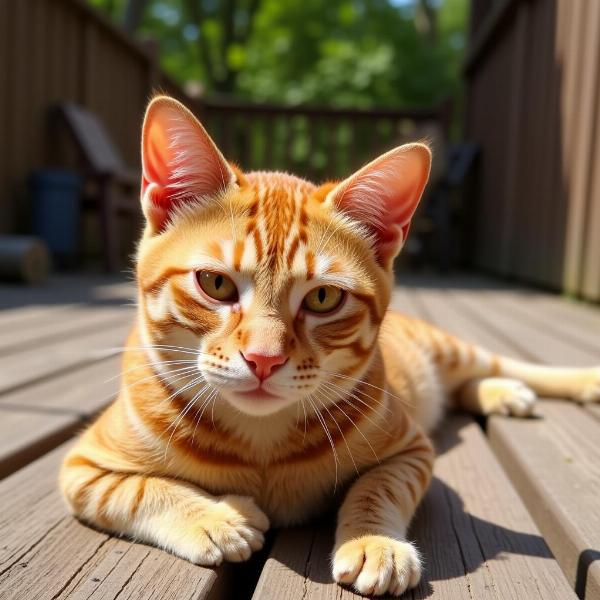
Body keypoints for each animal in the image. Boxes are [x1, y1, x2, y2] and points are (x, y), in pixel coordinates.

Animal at [61, 96, 600, 596]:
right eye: (215, 284)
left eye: (323, 298)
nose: (263, 359)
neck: (260, 443)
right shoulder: (82, 469)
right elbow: (143, 490)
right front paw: (216, 519)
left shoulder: (412, 451)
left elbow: (379, 487)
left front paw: (373, 541)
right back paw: (500, 395)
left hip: (451, 350)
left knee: (498, 364)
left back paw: (560, 383)